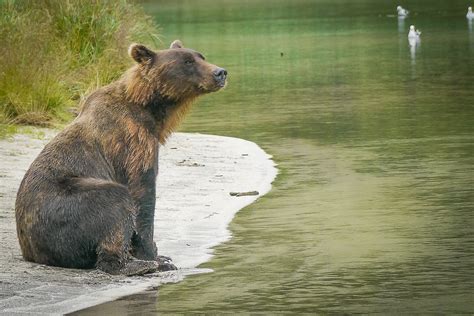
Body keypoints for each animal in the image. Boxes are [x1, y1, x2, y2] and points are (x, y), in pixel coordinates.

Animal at [14, 40, 228, 276]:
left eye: (201, 57)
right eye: (187, 62)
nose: (220, 72)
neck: (152, 108)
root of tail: (32, 252)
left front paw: (159, 254)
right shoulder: (134, 141)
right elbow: (142, 194)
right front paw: (155, 256)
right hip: (64, 206)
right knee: (114, 200)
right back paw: (138, 265)